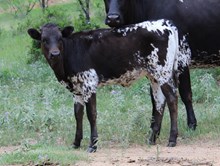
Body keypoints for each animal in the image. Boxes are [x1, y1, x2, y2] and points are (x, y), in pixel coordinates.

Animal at [27, 19, 192, 152]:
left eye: (60, 38)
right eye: (44, 39)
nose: (54, 54)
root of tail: (165, 22)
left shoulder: (89, 84)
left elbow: (91, 114)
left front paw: (93, 145)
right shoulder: (77, 90)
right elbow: (78, 114)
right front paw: (76, 143)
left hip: (162, 72)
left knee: (172, 99)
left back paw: (172, 139)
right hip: (154, 76)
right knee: (159, 102)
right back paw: (151, 140)